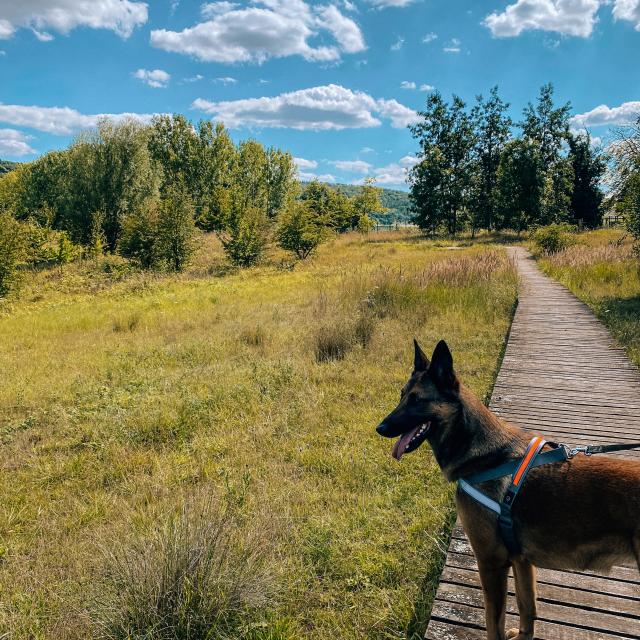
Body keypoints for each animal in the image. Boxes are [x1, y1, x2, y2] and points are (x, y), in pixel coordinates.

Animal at [376, 340, 640, 640]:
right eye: (401, 396)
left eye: (417, 400)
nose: (380, 428)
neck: (484, 454)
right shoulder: (521, 560)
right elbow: (527, 608)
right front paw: (524, 635)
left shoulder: (491, 563)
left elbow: (494, 622)